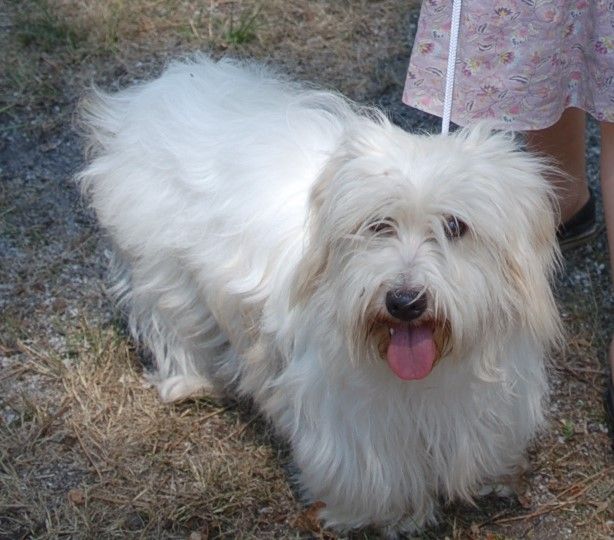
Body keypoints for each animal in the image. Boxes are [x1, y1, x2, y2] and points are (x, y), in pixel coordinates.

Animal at [77, 56, 564, 536]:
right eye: (378, 225)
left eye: (455, 227)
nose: (404, 302)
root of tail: (154, 94)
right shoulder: (352, 416)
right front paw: (386, 515)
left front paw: (491, 478)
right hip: (165, 270)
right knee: (171, 322)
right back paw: (189, 382)